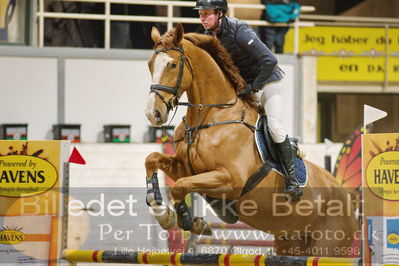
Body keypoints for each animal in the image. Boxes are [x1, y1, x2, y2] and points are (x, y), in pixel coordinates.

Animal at [145, 23, 358, 256]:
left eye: (173, 65)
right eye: (150, 65)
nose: (153, 114)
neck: (210, 117)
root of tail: (349, 199)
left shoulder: (230, 179)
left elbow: (179, 186)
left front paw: (187, 220)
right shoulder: (185, 168)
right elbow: (153, 159)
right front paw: (162, 212)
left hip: (328, 247)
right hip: (291, 244)